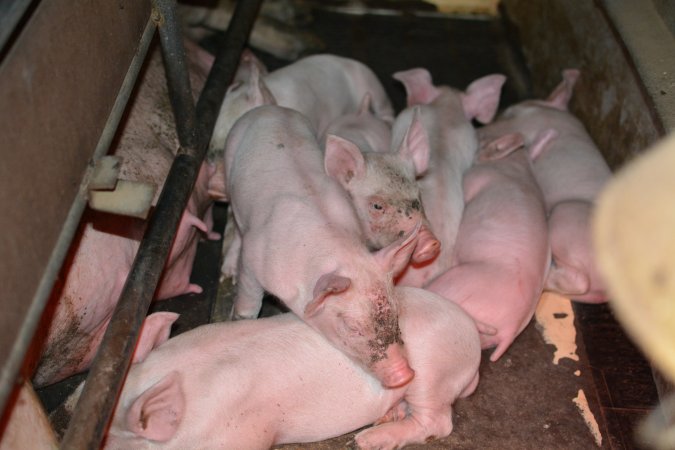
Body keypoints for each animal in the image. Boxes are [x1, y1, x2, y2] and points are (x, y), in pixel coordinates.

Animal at [103, 286, 481, 449]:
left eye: (111, 441)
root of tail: (472, 340)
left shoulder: (240, 437)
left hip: (431, 371)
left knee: (438, 423)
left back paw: (367, 440)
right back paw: (384, 418)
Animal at [222, 104, 419, 388]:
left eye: (396, 314)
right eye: (352, 327)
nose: (405, 375)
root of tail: (270, 107)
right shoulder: (252, 260)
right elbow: (248, 299)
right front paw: (240, 318)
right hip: (230, 158)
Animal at [426, 132, 551, 361]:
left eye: (484, 139)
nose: (480, 132)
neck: (516, 164)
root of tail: (511, 329)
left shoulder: (475, 178)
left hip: (455, 281)